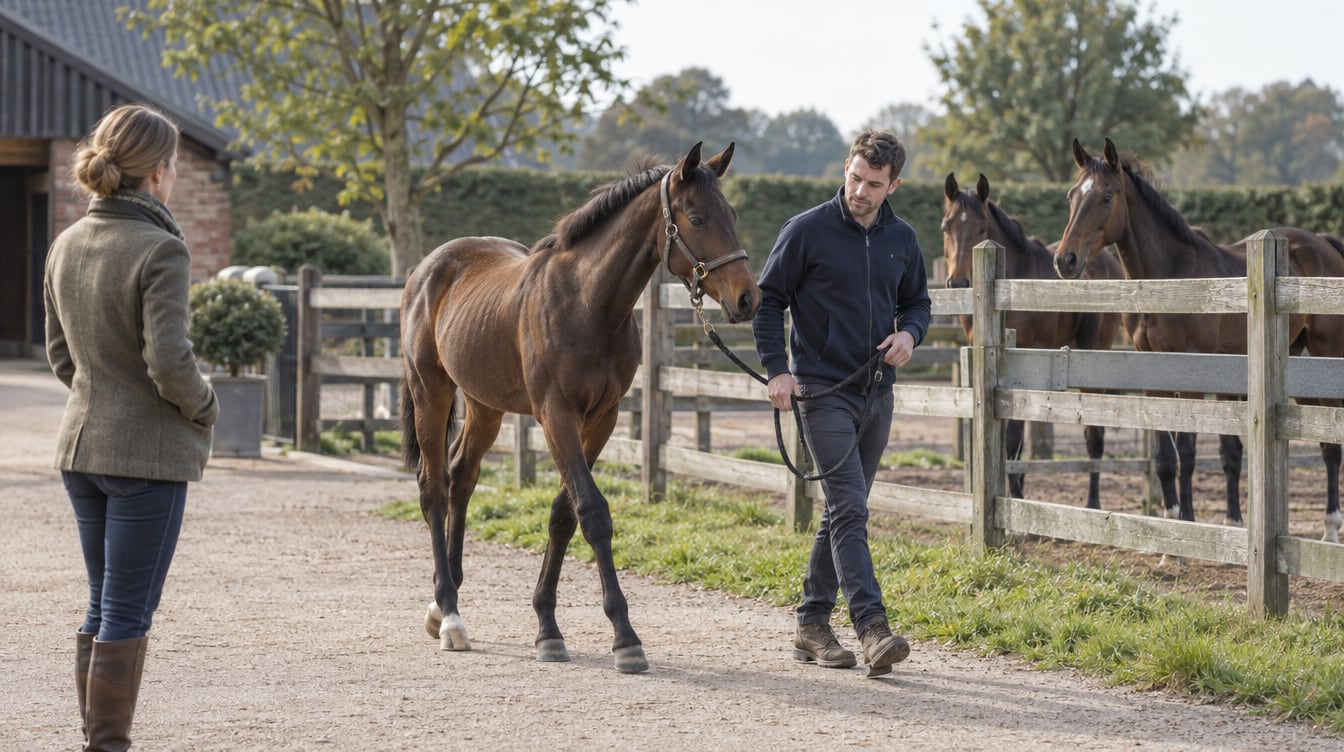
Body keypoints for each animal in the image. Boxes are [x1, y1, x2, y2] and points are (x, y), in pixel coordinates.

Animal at [399, 142, 761, 672]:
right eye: (696, 218)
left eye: (731, 214)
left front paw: (547, 626)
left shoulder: (602, 419)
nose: (748, 297)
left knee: (462, 477)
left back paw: (443, 603)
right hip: (431, 390)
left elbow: (563, 515)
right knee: (434, 489)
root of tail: (426, 269)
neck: (588, 304)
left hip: (485, 405)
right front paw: (625, 638)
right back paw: (449, 616)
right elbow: (592, 512)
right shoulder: (557, 416)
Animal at [942, 172, 1127, 509]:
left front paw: (1015, 497)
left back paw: (1093, 502)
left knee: (1094, 435)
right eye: (946, 227)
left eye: (982, 228)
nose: (959, 283)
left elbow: (1014, 440)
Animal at [1053, 137, 1344, 543]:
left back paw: (1330, 530)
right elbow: (1166, 458)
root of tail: (1325, 246)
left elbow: (1188, 454)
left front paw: (1188, 526)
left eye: (1107, 197)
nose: (1065, 260)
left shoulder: (1192, 374)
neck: (1171, 278)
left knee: (1331, 447)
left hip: (1324, 356)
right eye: (1071, 195)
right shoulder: (1154, 378)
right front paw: (1169, 528)